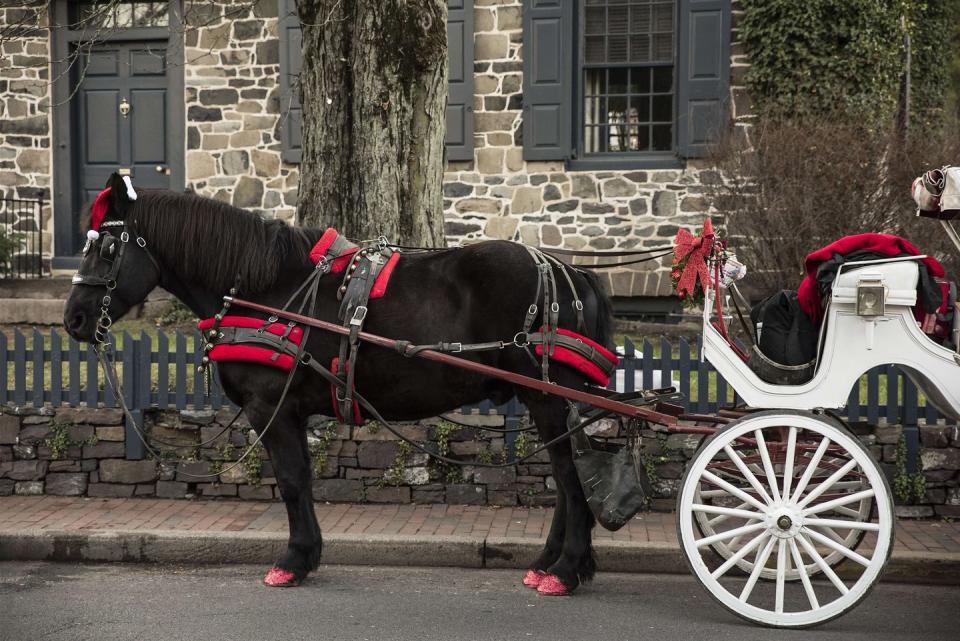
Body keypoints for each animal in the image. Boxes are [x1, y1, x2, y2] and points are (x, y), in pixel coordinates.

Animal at [63, 172, 616, 592]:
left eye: (106, 246)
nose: (73, 319)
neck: (267, 291)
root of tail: (567, 270)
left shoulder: (272, 408)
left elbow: (290, 481)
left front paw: (293, 560)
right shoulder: (290, 410)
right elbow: (302, 480)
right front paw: (306, 555)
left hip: (549, 398)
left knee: (570, 477)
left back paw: (566, 570)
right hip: (547, 400)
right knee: (565, 478)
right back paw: (548, 562)